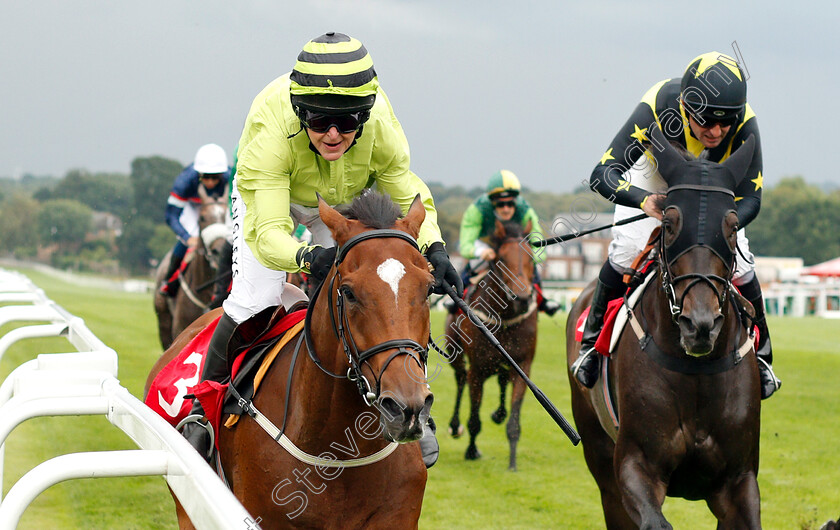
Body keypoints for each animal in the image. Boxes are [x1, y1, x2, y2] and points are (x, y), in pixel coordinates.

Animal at [446, 217, 540, 468]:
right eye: (502, 259)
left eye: (531, 258)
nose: (522, 299)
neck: (505, 319)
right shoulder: (477, 370)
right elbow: (474, 419)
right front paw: (471, 451)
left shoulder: (523, 365)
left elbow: (514, 421)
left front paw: (513, 463)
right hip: (454, 353)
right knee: (460, 379)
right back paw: (454, 426)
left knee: (501, 380)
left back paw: (498, 413)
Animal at [568, 129, 764, 528]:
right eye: (670, 223)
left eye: (732, 225)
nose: (699, 324)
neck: (696, 371)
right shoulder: (634, 466)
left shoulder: (738, 480)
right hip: (599, 458)